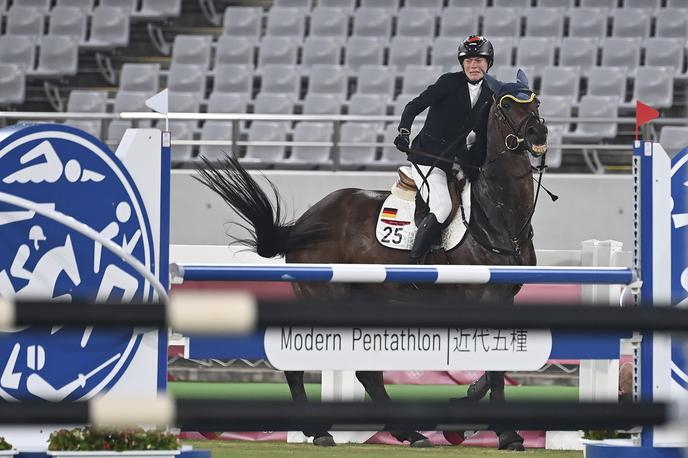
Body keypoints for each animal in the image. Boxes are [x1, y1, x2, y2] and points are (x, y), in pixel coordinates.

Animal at [195, 71, 548, 450]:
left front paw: (465, 407)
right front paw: (506, 434)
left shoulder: (505, 297)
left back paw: (409, 433)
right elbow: (495, 366)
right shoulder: (483, 297)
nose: (537, 134)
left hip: (363, 297)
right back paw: (321, 431)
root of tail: (308, 220)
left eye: (536, 102)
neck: (497, 215)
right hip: (324, 297)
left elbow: (500, 364)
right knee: (303, 363)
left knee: (367, 373)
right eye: (507, 106)